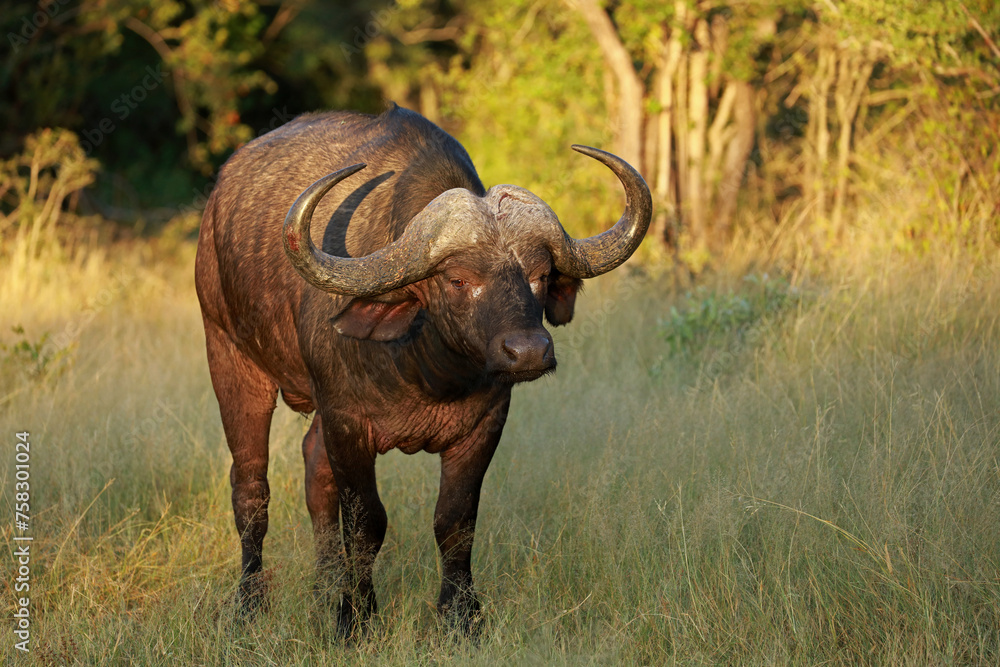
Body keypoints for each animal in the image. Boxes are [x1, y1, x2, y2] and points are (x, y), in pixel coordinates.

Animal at [194, 104, 651, 635]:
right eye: (457, 280)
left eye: (539, 276)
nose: (528, 351)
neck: (427, 371)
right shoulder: (348, 421)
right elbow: (366, 523)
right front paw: (356, 619)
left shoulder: (484, 425)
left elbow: (455, 521)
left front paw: (460, 616)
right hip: (230, 359)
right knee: (251, 487)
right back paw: (249, 604)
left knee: (314, 471)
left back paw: (324, 588)